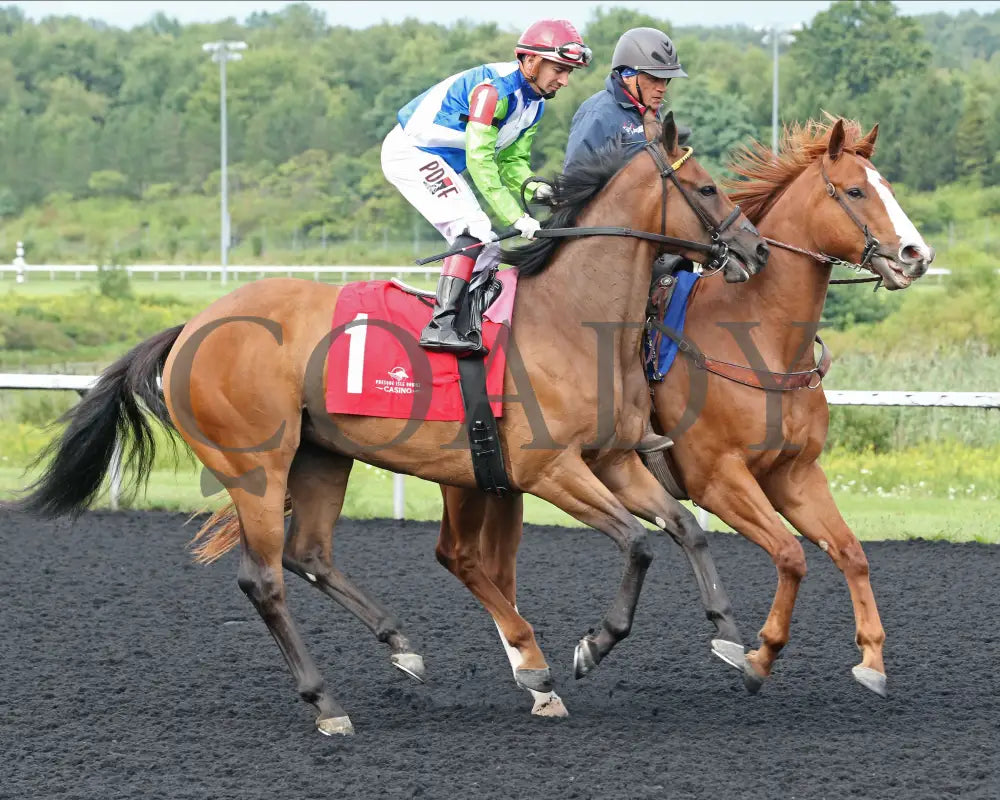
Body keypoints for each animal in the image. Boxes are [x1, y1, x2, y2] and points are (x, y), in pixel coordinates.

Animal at [7, 114, 764, 736]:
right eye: (706, 186)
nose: (754, 250)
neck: (571, 318)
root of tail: (191, 327)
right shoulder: (548, 468)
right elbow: (638, 542)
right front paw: (592, 644)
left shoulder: (613, 458)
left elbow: (686, 527)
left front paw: (732, 637)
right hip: (257, 465)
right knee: (265, 578)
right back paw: (327, 703)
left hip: (321, 455)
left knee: (310, 552)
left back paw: (403, 647)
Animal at [442, 115, 932, 708]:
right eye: (856, 191)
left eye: (887, 185)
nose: (916, 254)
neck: (758, 340)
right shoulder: (718, 479)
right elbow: (790, 554)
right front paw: (757, 655)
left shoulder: (795, 475)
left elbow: (850, 551)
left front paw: (872, 659)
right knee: (464, 558)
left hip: (505, 482)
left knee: (489, 566)